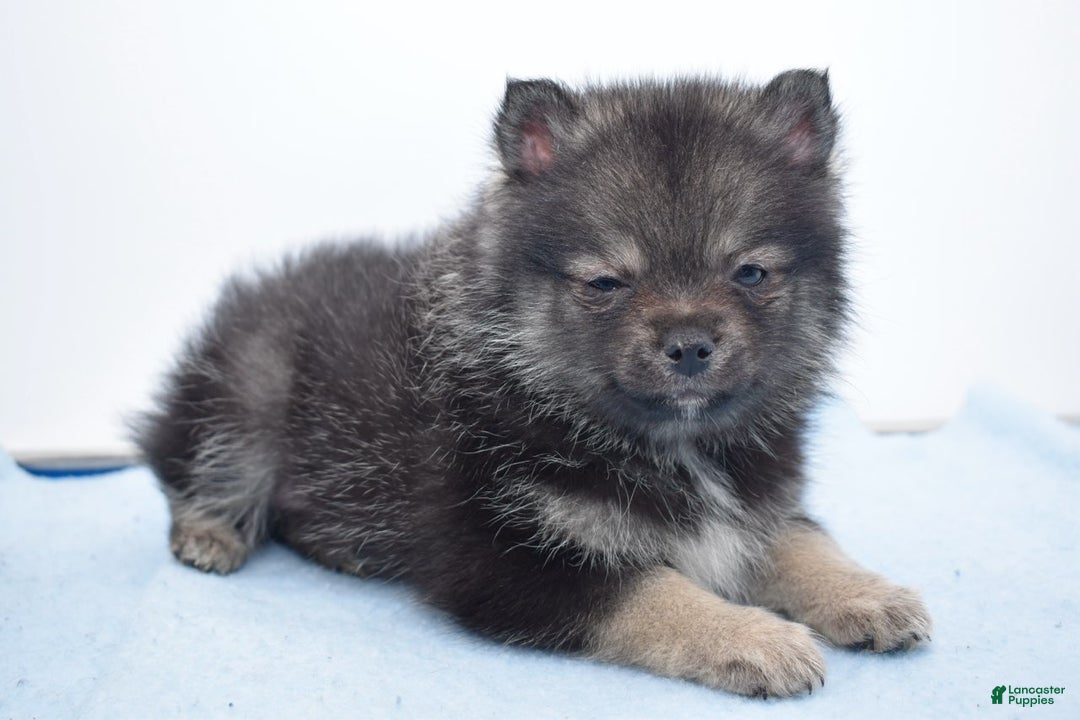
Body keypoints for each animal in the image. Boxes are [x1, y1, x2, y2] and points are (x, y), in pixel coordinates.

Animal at [135, 69, 931, 697]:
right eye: (607, 283)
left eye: (751, 274)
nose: (690, 344)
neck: (670, 444)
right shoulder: (509, 559)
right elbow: (655, 591)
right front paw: (754, 638)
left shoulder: (756, 504)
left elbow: (801, 542)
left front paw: (867, 593)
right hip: (250, 380)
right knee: (195, 458)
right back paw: (210, 532)